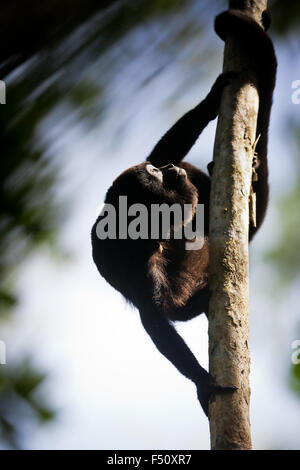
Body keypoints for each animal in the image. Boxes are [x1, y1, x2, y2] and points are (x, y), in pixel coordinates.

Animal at [91, 10, 276, 414]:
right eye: (156, 177)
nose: (167, 170)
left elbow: (166, 147)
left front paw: (209, 102)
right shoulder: (127, 255)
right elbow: (153, 315)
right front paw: (203, 382)